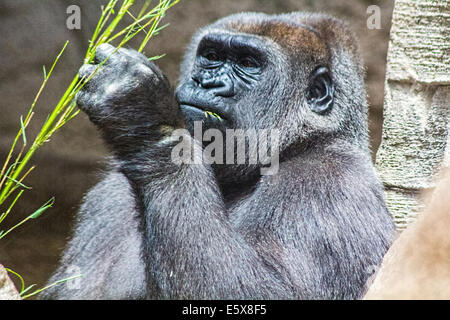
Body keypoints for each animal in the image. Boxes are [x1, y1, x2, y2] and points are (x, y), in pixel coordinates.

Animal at [40, 10, 396, 300]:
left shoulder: (332, 182)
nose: (206, 82)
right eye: (211, 56)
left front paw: (147, 121)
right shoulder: (107, 198)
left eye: (249, 64)